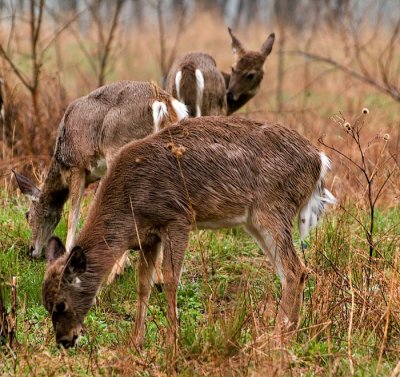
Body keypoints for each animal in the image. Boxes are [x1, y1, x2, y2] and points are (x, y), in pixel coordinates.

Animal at [12, 81, 188, 274]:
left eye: (27, 215)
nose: (31, 251)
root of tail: (161, 101)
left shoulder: (77, 165)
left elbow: (74, 214)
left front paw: (69, 253)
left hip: (120, 148)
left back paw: (118, 269)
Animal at [40, 115, 334, 350]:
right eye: (46, 304)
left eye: (61, 304)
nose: (64, 341)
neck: (129, 204)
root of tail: (320, 161)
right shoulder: (148, 236)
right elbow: (143, 284)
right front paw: (136, 342)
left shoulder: (177, 218)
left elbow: (171, 280)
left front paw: (173, 341)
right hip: (255, 220)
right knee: (292, 272)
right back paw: (288, 333)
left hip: (272, 208)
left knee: (295, 269)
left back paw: (278, 338)